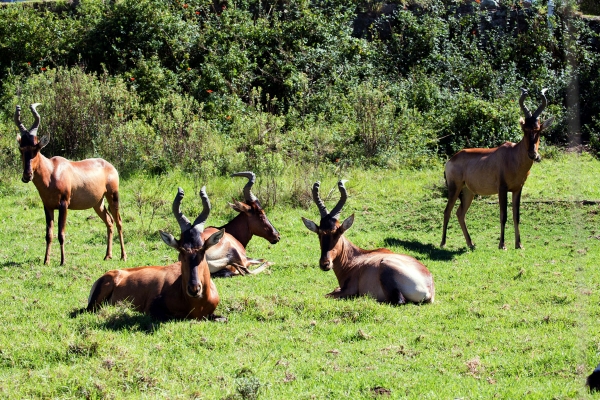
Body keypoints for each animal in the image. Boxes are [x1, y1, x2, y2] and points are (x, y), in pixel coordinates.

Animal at [14, 103, 126, 266]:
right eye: (21, 148)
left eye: (37, 147)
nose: (27, 175)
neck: (52, 170)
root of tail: (110, 166)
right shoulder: (47, 206)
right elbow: (49, 234)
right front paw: (46, 261)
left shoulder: (64, 204)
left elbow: (61, 233)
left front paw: (62, 261)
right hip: (97, 203)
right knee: (109, 221)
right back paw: (107, 256)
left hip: (113, 196)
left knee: (118, 222)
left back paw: (123, 256)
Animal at [302, 180, 434, 304]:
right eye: (319, 232)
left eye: (338, 232)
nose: (325, 264)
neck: (355, 258)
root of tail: (429, 290)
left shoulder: (349, 290)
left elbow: (327, 295)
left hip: (385, 266)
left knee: (398, 300)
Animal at [438, 89, 556, 248]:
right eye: (524, 129)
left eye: (538, 130)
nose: (533, 155)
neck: (513, 155)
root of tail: (450, 160)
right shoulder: (502, 188)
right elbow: (503, 215)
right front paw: (502, 245)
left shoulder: (518, 189)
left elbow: (516, 216)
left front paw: (519, 245)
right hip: (454, 188)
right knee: (447, 211)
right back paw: (443, 243)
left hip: (468, 191)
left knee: (460, 213)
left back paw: (471, 244)